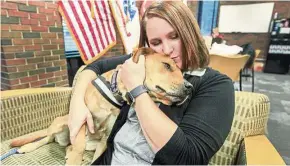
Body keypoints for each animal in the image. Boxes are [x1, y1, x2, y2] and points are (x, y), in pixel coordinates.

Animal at [10, 47, 193, 165]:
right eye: (167, 65)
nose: (190, 87)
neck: (116, 93)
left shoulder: (106, 137)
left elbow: (95, 157)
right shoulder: (82, 119)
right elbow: (78, 146)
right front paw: (75, 159)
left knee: (68, 146)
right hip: (59, 123)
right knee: (47, 138)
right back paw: (27, 147)